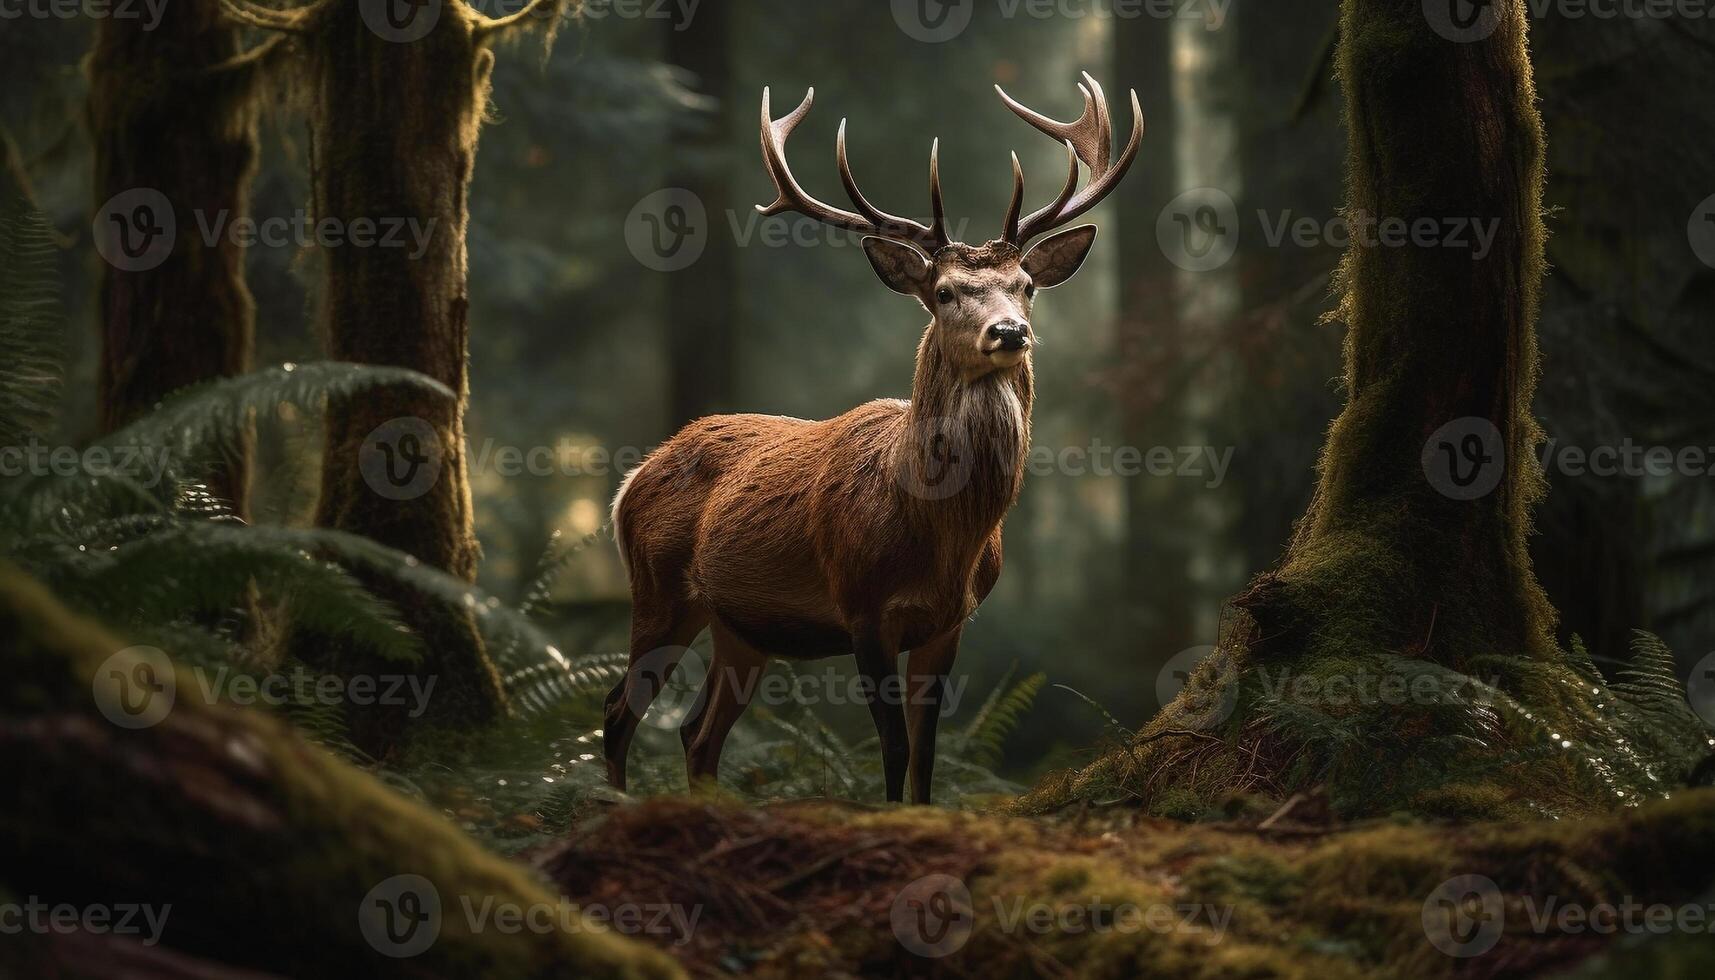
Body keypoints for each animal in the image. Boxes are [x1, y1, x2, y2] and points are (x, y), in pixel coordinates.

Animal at [603, 70, 1138, 806]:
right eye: (944, 292)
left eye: (1026, 285)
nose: (1010, 332)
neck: (941, 536)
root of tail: (629, 483)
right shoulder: (861, 608)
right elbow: (892, 747)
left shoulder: (950, 622)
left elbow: (927, 753)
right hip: (658, 589)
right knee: (617, 711)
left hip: (740, 627)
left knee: (695, 731)